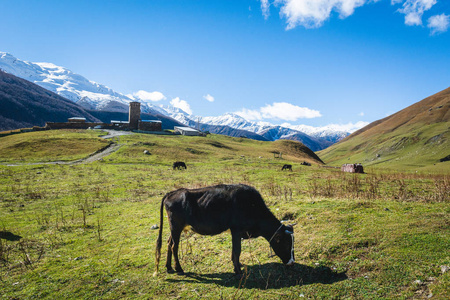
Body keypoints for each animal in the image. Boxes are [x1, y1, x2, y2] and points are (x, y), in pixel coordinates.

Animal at [155, 184, 296, 276]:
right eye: (286, 243)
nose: (292, 263)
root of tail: (171, 193)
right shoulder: (236, 230)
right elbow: (237, 250)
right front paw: (238, 271)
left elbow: (234, 251)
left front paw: (238, 265)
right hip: (176, 226)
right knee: (174, 246)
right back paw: (179, 269)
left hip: (175, 228)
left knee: (169, 243)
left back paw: (169, 267)